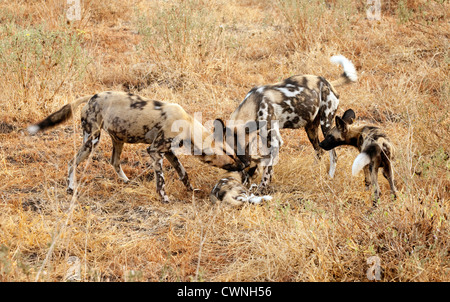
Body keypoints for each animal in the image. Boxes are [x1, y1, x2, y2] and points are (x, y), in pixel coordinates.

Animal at [26, 91, 248, 202]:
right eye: (232, 159)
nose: (244, 166)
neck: (187, 125)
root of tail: (91, 97)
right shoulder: (155, 151)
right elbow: (161, 181)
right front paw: (164, 199)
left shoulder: (168, 152)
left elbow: (183, 174)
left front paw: (192, 190)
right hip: (92, 140)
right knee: (72, 162)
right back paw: (71, 188)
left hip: (118, 139)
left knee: (114, 161)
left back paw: (126, 181)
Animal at [213, 55, 356, 193]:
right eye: (233, 154)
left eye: (244, 147)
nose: (245, 164)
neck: (254, 105)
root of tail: (328, 83)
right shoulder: (264, 139)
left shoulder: (275, 142)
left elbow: (267, 170)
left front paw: (261, 188)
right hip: (310, 129)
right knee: (319, 150)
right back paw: (313, 170)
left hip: (325, 125)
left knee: (333, 155)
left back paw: (330, 177)